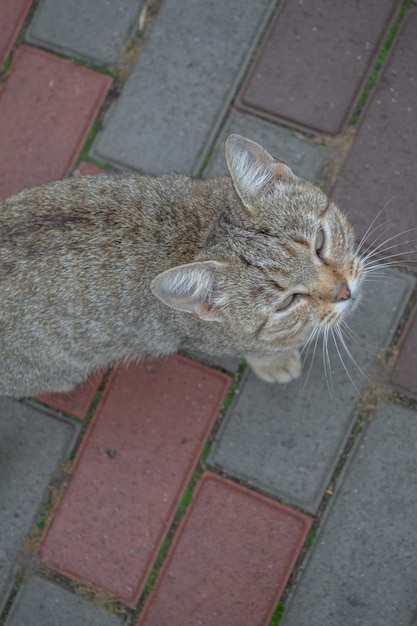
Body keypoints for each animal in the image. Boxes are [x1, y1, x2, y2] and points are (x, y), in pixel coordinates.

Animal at [0, 134, 362, 392]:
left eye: (320, 243)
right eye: (288, 302)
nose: (345, 291)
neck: (202, 230)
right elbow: (258, 350)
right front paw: (275, 362)